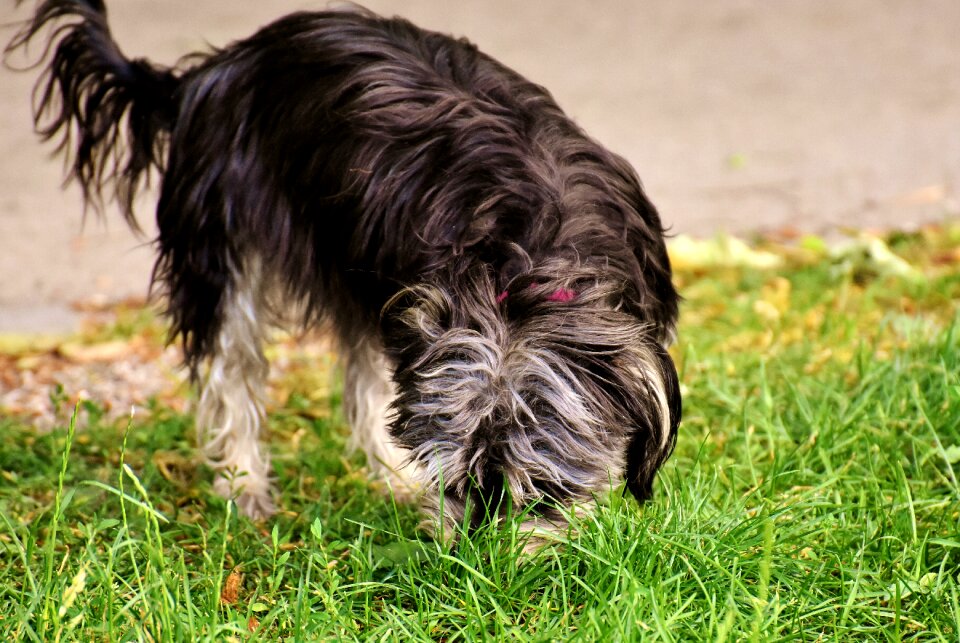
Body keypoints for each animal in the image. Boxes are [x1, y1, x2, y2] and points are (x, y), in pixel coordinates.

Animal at [9, 0, 684, 532]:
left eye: (544, 493)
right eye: (455, 481)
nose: (479, 558)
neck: (530, 271)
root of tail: (210, 72)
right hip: (223, 249)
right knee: (233, 372)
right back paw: (246, 488)